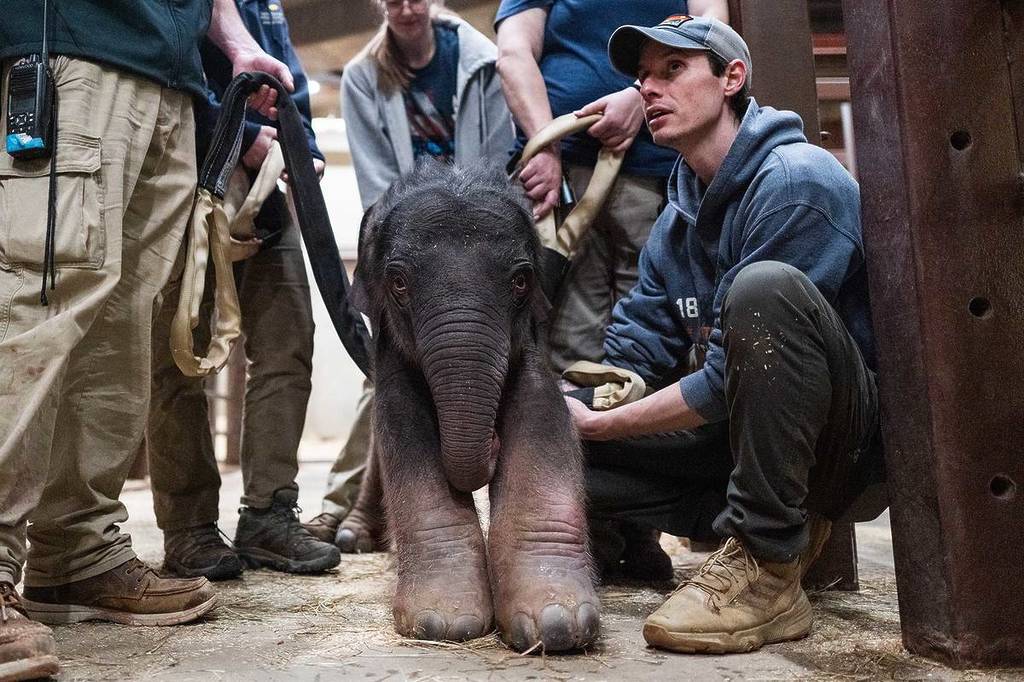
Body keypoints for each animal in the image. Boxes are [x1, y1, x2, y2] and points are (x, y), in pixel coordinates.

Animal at [344, 160, 600, 653]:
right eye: (398, 283)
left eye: (520, 281)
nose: (491, 444)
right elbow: (403, 428)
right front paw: (443, 622)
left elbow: (542, 418)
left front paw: (558, 622)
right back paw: (352, 535)